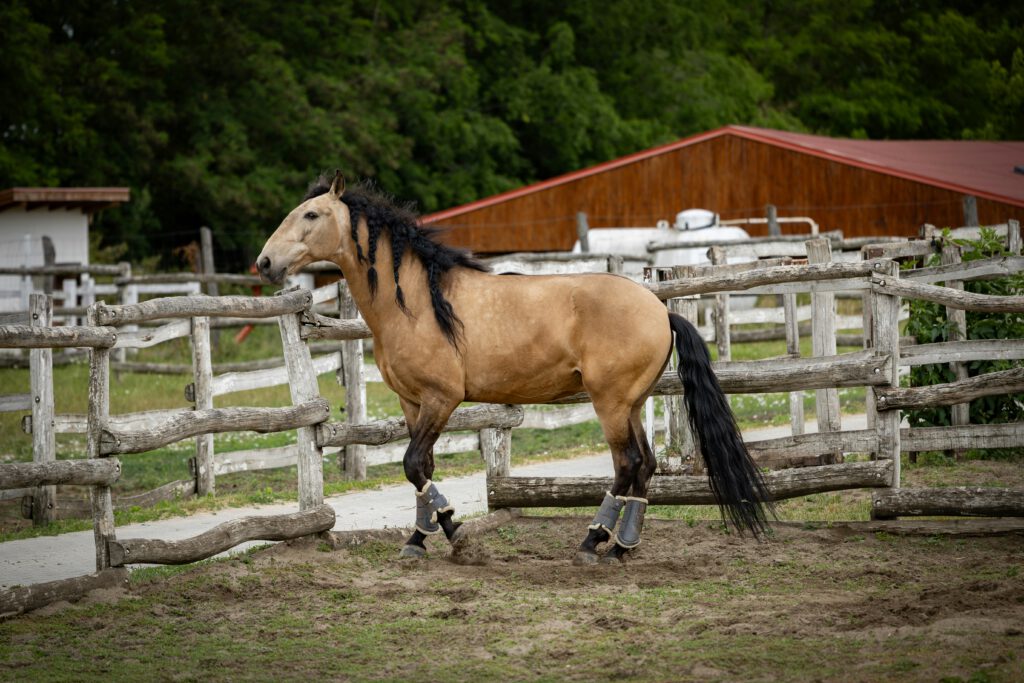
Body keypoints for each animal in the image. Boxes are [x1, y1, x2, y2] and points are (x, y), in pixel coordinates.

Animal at [257, 171, 772, 564]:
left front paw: (455, 535)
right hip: (631, 403)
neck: (420, 302)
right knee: (644, 465)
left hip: (610, 403)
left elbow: (412, 464)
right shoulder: (412, 403)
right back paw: (622, 547)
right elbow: (421, 469)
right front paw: (419, 539)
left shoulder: (442, 400)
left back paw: (592, 543)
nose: (264, 262)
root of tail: (660, 310)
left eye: (311, 215)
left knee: (627, 464)